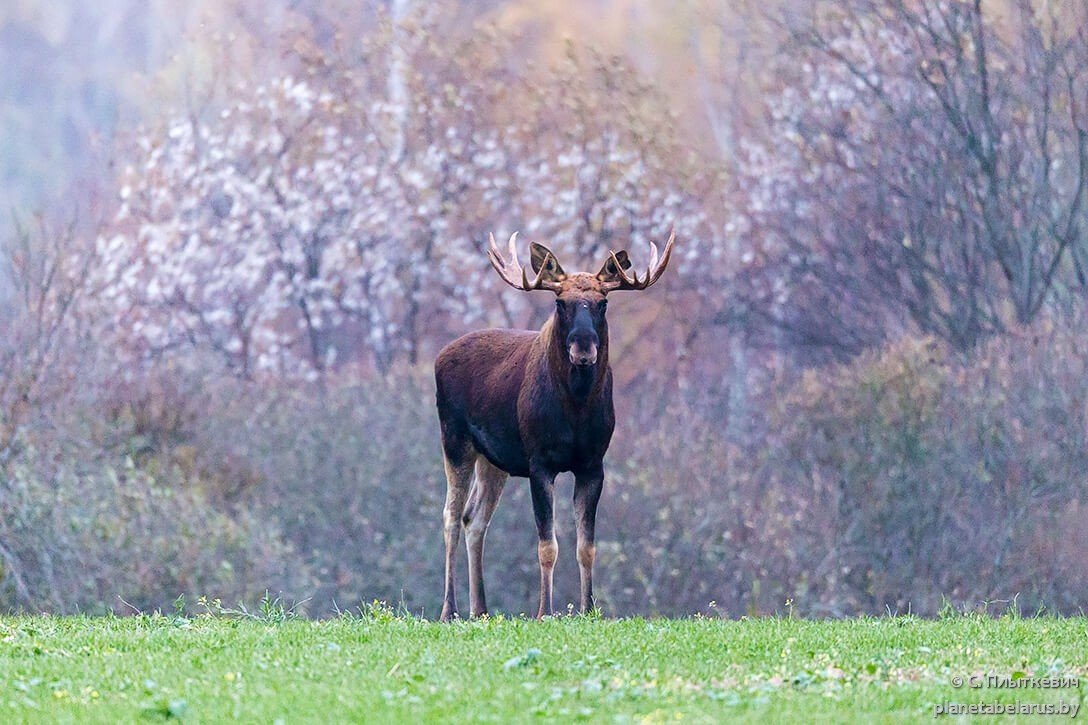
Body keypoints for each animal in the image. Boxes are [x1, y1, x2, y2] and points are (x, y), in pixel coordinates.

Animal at [430, 228, 670, 618]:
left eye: (603, 303)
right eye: (560, 303)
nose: (583, 349)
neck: (575, 410)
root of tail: (439, 355)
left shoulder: (593, 464)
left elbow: (587, 546)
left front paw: (589, 610)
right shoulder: (539, 462)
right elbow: (547, 545)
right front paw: (545, 611)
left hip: (494, 461)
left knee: (474, 518)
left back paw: (481, 609)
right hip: (454, 440)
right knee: (450, 516)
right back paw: (449, 610)